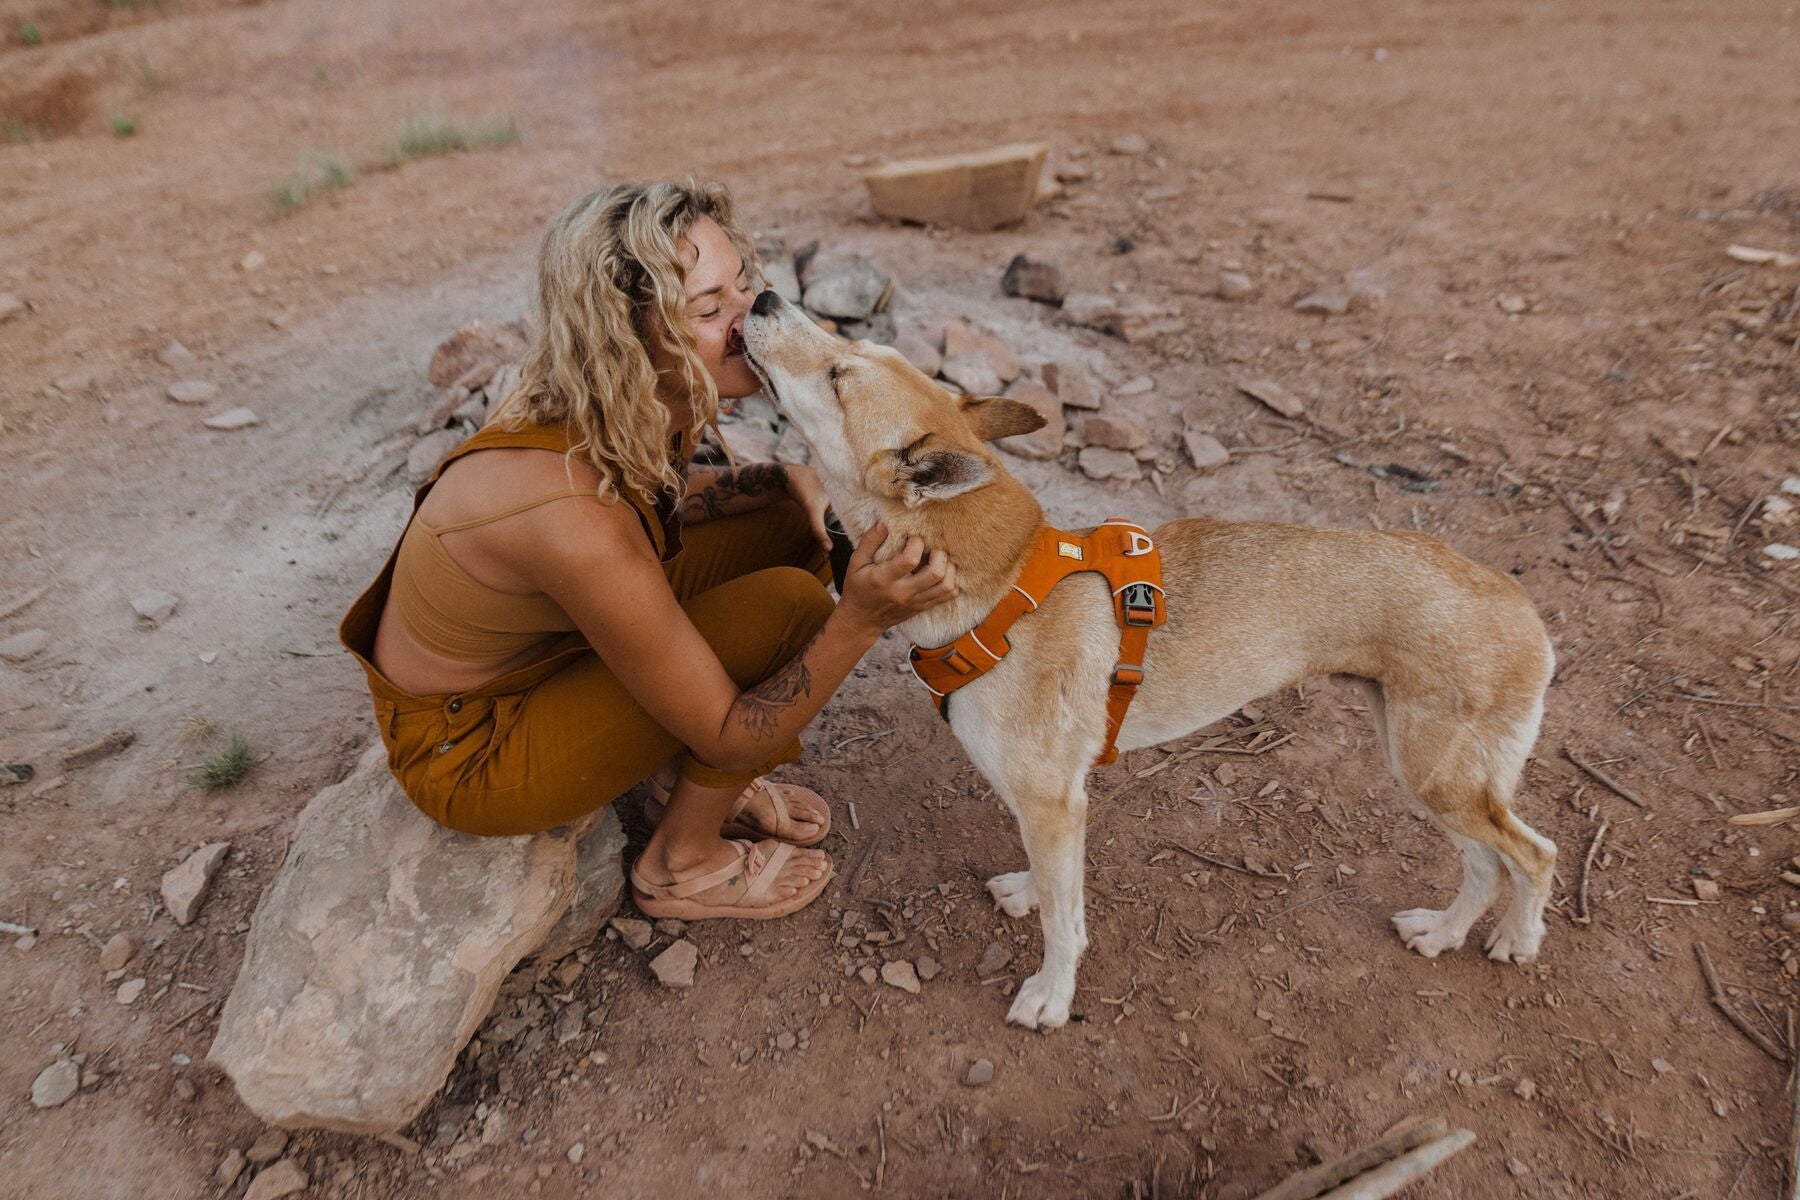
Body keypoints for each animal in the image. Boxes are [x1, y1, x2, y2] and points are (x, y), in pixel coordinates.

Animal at [745, 291, 1562, 1036]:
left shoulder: (1050, 797)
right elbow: (1055, 883)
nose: (763, 295)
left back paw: (1517, 940)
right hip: (1423, 768)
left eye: (839, 373)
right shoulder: (1052, 798)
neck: (1002, 582)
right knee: (1489, 863)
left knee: (1534, 854)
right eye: (851, 351)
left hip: (1436, 776)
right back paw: (1443, 932)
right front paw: (1031, 891)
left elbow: (1066, 925)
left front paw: (1052, 997)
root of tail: (1515, 597)